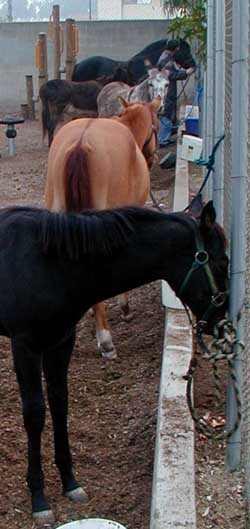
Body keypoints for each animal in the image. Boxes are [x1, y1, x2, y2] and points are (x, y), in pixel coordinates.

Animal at [0, 200, 228, 520]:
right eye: (222, 263)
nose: (221, 322)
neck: (50, 264)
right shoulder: (25, 346)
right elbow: (35, 414)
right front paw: (39, 498)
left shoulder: (61, 341)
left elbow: (59, 403)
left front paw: (70, 482)